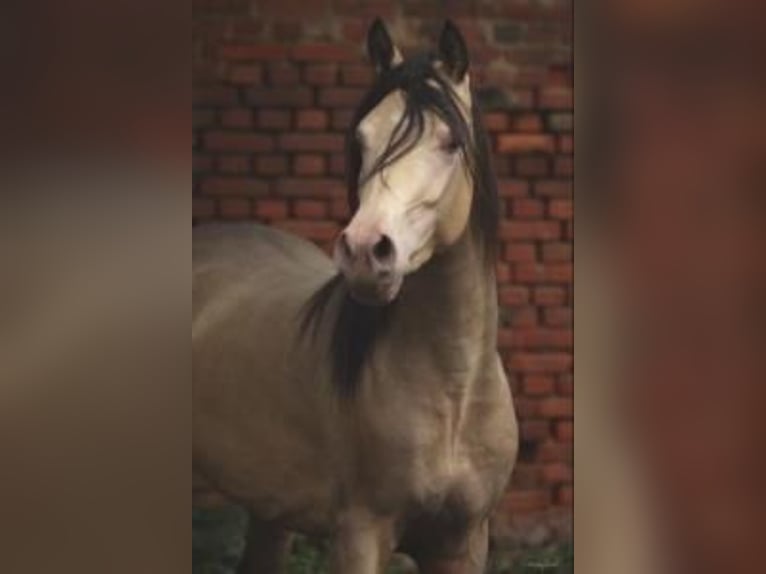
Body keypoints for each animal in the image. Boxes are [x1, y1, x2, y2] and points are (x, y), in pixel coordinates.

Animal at [195, 19, 520, 574]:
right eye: (363, 139)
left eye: (450, 142)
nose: (366, 251)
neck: (454, 392)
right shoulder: (361, 533)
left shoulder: (463, 541)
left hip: (269, 510)